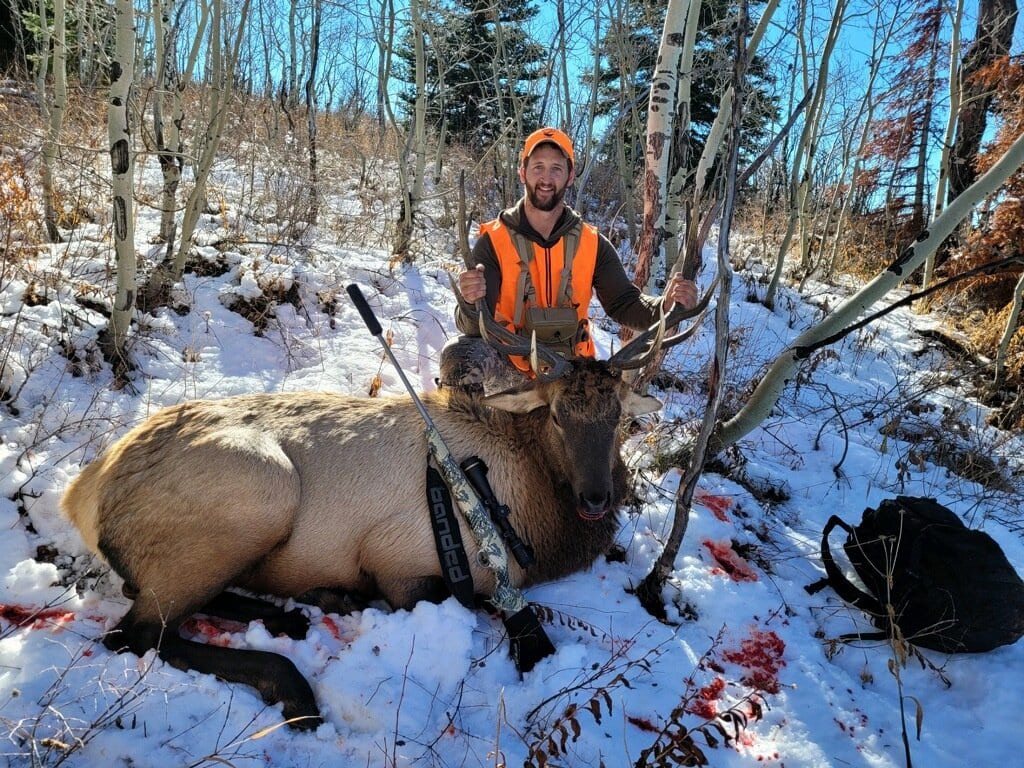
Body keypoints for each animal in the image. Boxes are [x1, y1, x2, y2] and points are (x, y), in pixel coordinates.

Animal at [60, 293, 705, 730]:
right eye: (555, 415)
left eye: (618, 418)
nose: (596, 498)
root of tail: (81, 494)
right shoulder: (400, 558)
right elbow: (461, 600)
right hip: (263, 489)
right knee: (137, 632)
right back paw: (294, 680)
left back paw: (293, 614)